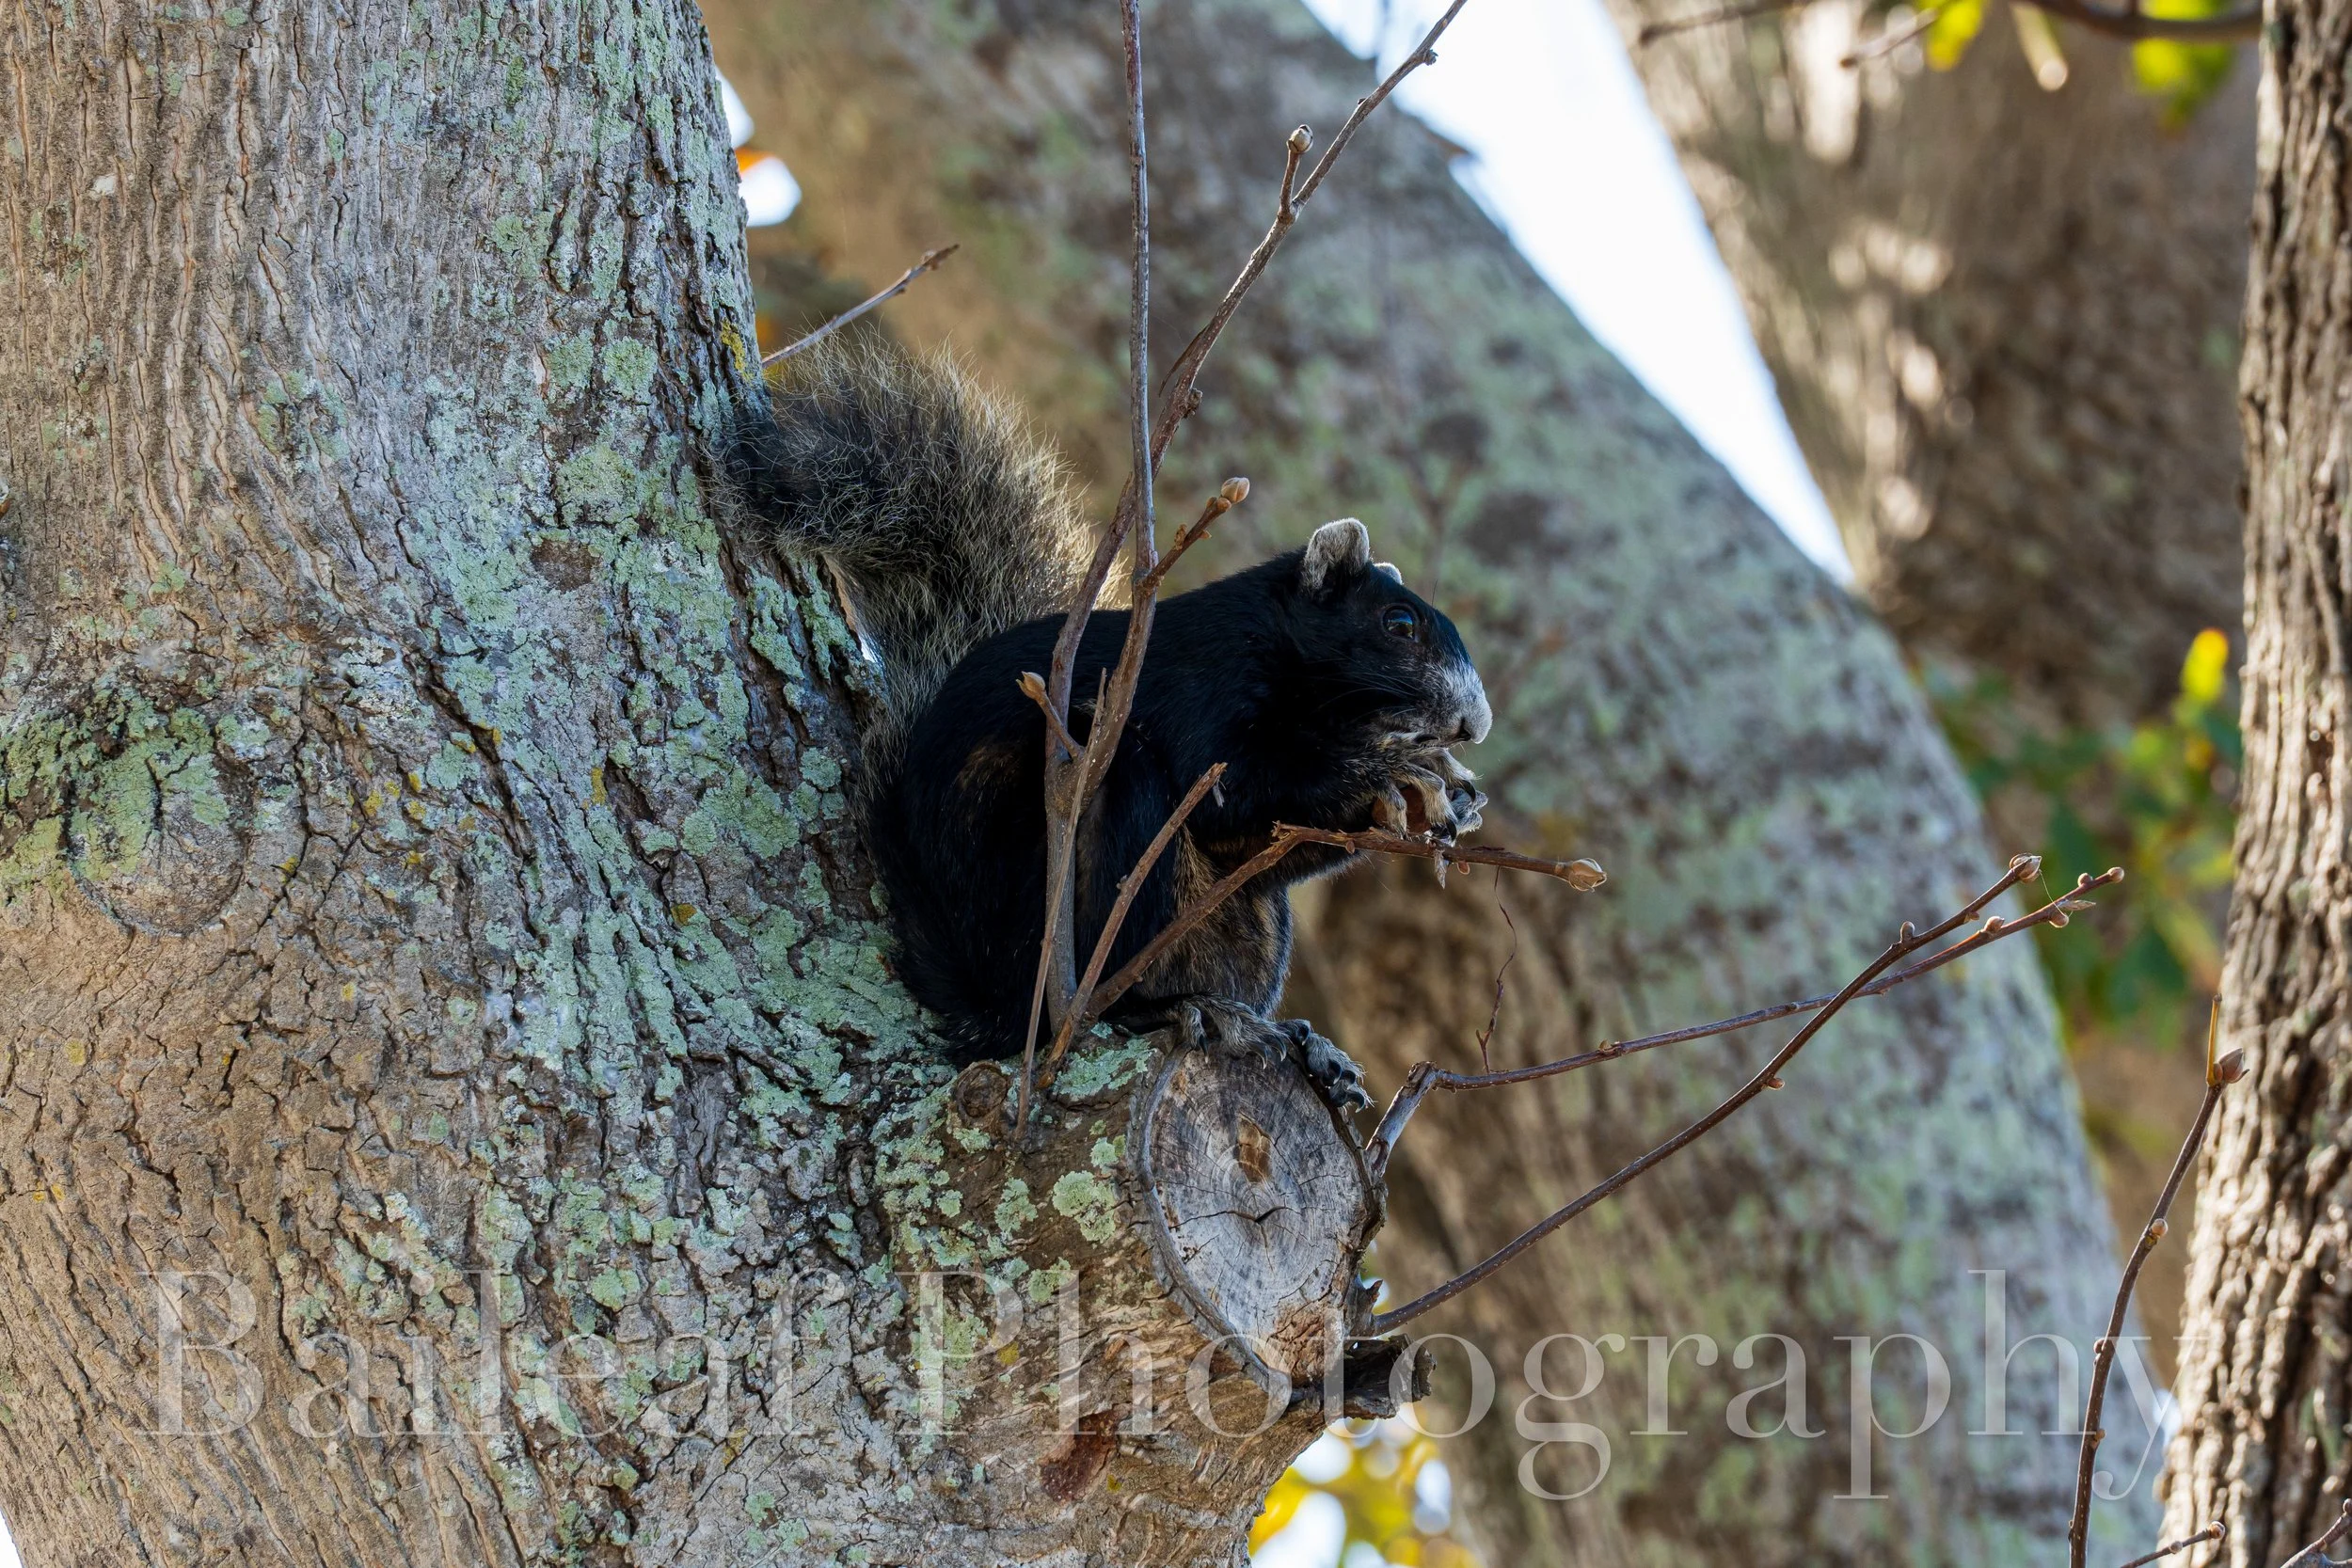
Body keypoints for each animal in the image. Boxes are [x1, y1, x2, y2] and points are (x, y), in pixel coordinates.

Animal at [724, 341, 1491, 1109]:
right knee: (1078, 1004)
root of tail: (986, 1003)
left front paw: (1446, 793)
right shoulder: (1198, 687)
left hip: (1249, 930)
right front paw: (1393, 773)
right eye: (1399, 623)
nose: (1475, 724)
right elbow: (1233, 795)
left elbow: (1259, 841)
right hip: (1071, 867)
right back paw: (1172, 1012)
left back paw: (1301, 1042)